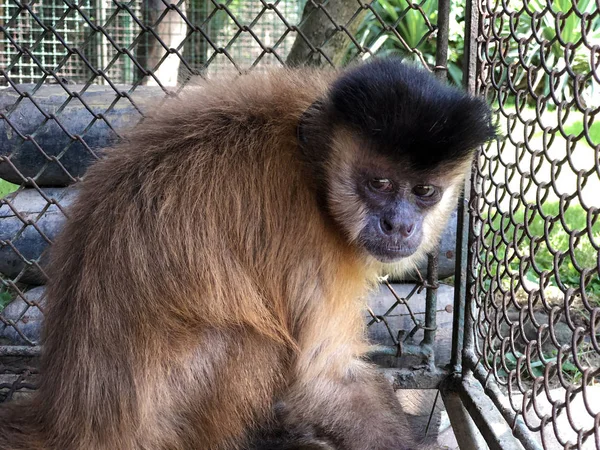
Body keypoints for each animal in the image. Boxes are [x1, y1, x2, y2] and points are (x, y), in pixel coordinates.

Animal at [0, 59, 494, 450]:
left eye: (424, 192)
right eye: (380, 184)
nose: (400, 225)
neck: (312, 172)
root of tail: (71, 422)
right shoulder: (311, 239)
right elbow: (322, 380)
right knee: (254, 339)